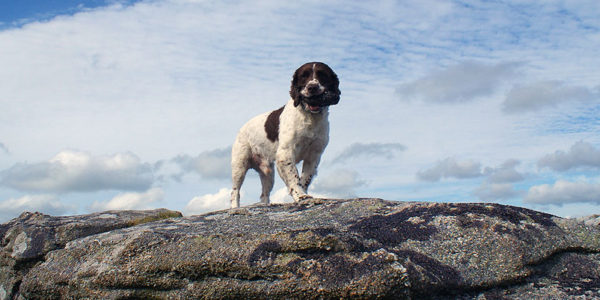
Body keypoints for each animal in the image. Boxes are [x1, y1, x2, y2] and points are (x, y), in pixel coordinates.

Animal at [231, 62, 340, 207]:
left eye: (322, 74)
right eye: (304, 76)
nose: (312, 87)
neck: (310, 118)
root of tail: (242, 128)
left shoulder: (314, 155)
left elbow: (305, 177)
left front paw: (303, 194)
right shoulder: (286, 153)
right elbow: (293, 176)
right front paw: (301, 196)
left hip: (268, 173)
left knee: (264, 194)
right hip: (239, 166)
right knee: (235, 191)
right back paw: (234, 208)